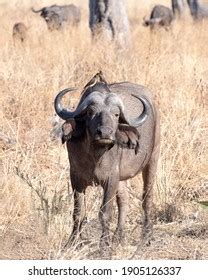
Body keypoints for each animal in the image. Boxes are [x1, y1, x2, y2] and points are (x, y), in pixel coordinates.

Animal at [53, 72, 159, 252]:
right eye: (90, 112)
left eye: (116, 114)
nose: (105, 133)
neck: (94, 156)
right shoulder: (75, 178)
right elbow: (78, 212)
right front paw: (73, 241)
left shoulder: (110, 179)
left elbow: (105, 213)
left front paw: (104, 245)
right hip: (122, 178)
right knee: (124, 200)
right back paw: (119, 236)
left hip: (152, 159)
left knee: (147, 197)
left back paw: (146, 236)